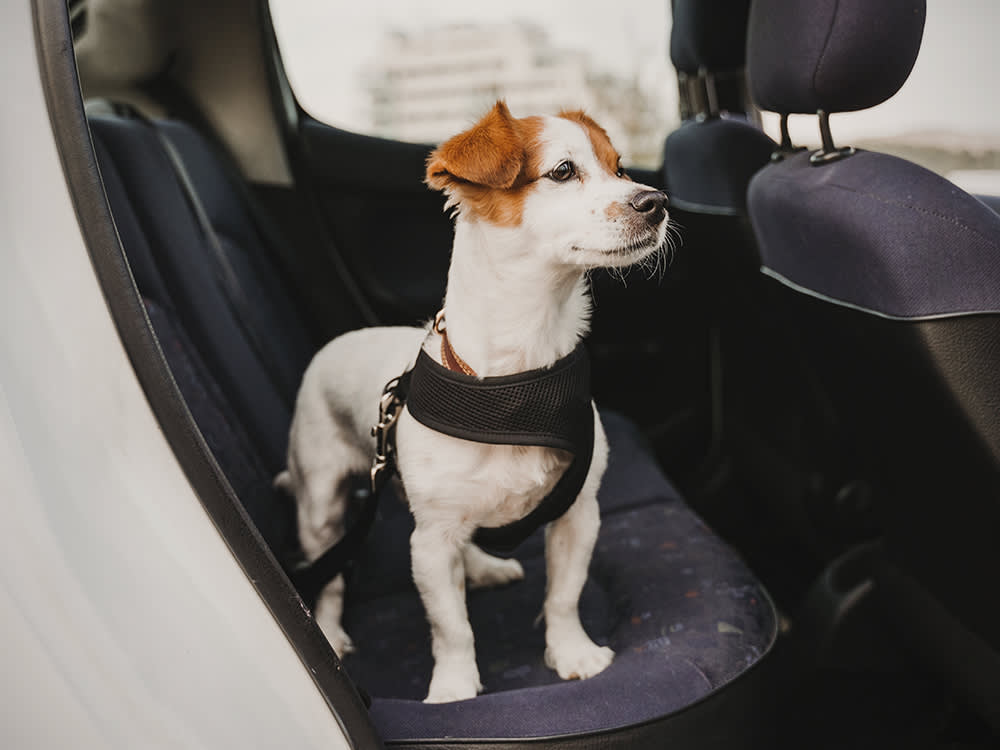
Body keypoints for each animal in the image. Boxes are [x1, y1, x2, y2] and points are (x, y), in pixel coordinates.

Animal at [280, 100, 672, 704]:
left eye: (620, 168)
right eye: (563, 171)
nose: (656, 202)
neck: (520, 381)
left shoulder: (577, 514)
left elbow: (564, 596)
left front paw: (572, 654)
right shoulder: (429, 543)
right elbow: (451, 627)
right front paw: (454, 688)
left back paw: (484, 567)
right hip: (322, 505)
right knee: (328, 575)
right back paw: (328, 630)